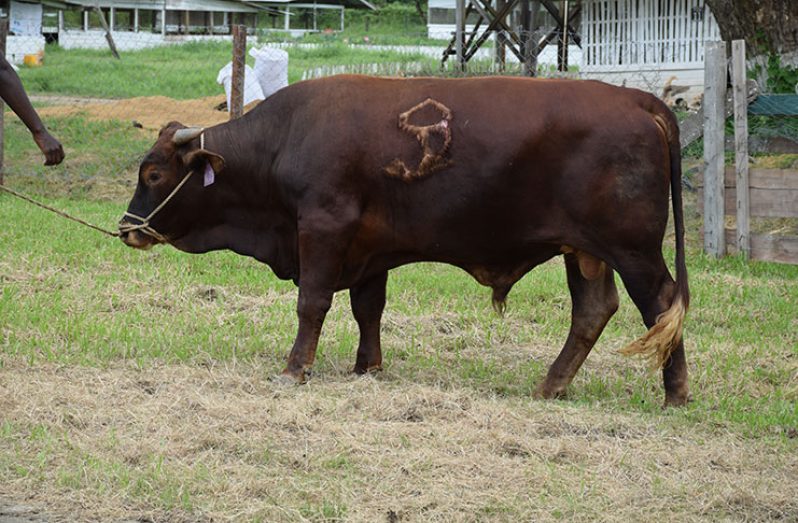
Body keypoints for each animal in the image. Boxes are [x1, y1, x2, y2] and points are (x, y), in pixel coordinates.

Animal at [122, 75, 692, 408]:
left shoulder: (323, 228)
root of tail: (636, 99)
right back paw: (551, 386)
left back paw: (675, 394)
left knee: (661, 305)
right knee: (594, 310)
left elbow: (312, 304)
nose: (127, 228)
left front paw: (295, 368)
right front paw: (366, 367)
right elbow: (367, 308)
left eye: (153, 174)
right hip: (587, 251)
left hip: (634, 250)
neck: (285, 138)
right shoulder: (368, 249)